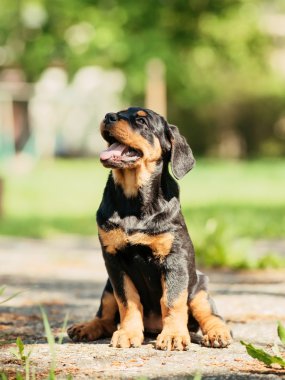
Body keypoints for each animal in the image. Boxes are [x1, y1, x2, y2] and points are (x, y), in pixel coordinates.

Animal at [67, 107, 232, 350]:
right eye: (118, 112)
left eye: (142, 121)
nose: (108, 116)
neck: (133, 201)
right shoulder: (114, 261)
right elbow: (127, 301)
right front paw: (128, 333)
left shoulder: (174, 259)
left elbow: (172, 300)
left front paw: (173, 336)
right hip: (107, 286)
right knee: (105, 317)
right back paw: (86, 327)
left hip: (199, 288)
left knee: (210, 314)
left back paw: (218, 333)